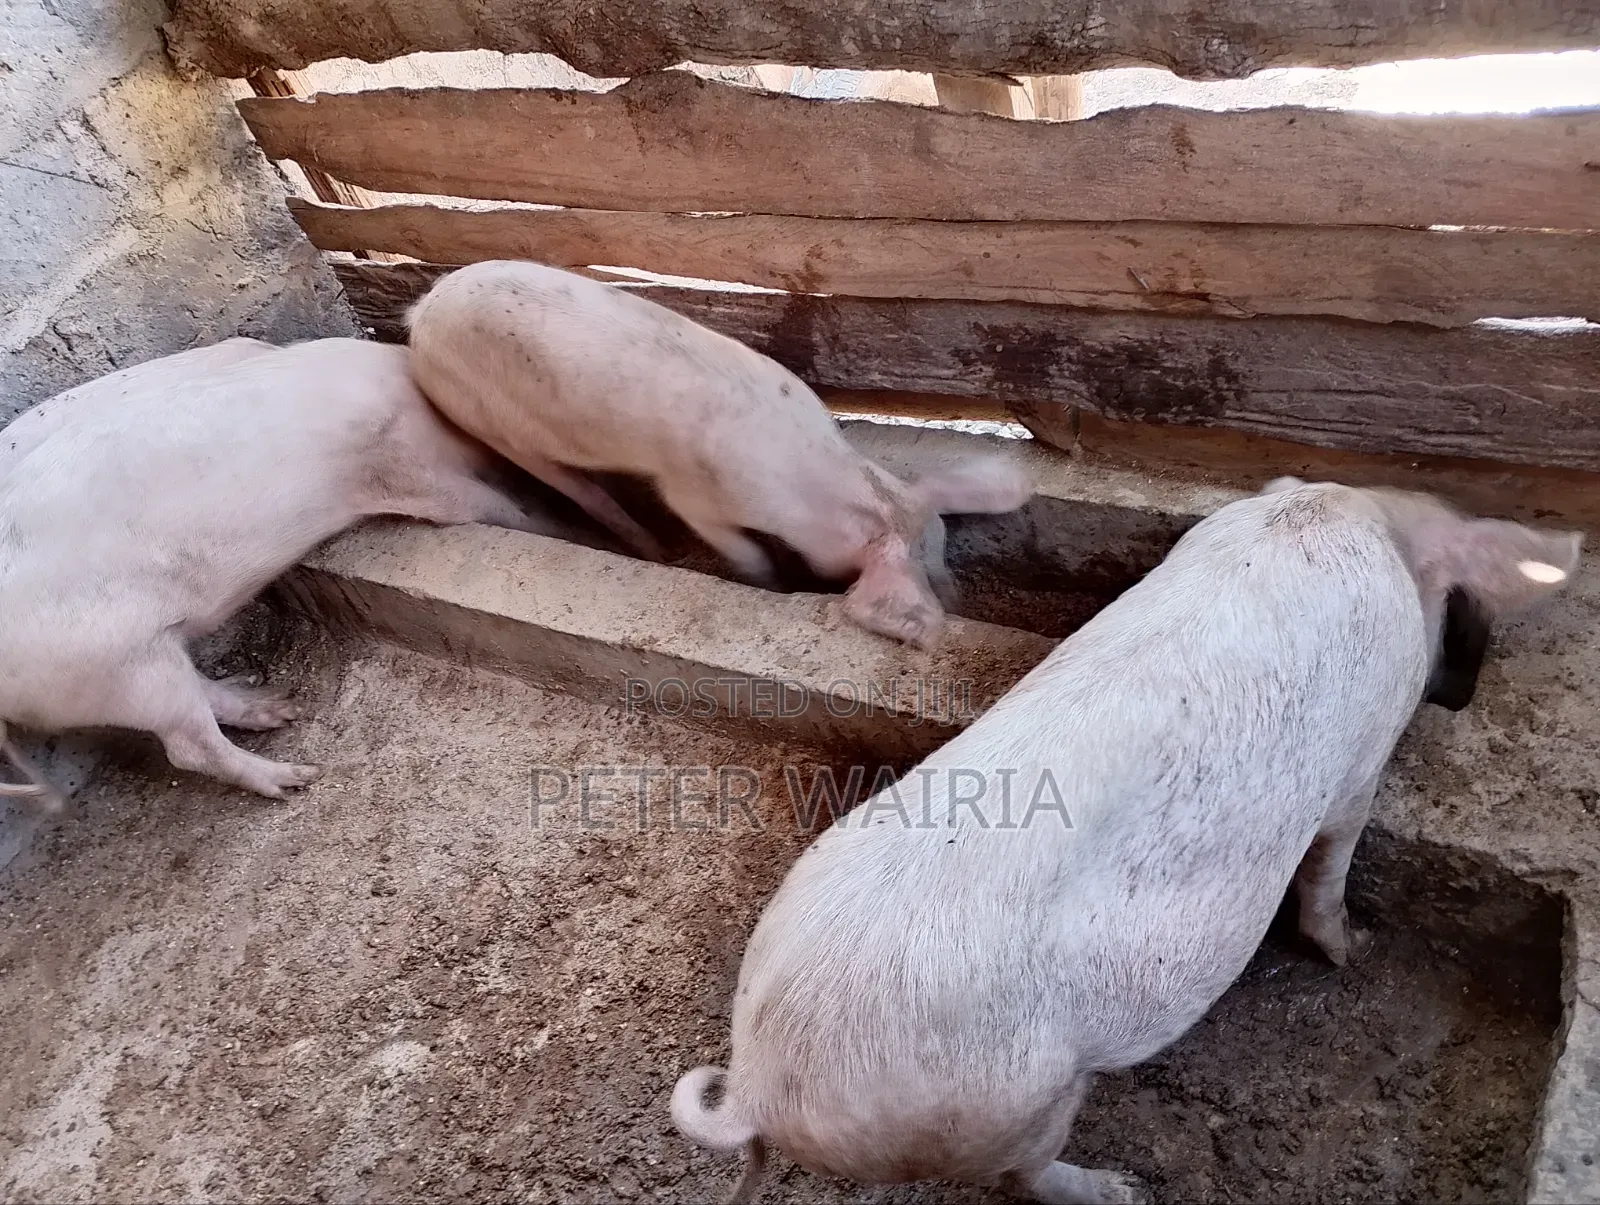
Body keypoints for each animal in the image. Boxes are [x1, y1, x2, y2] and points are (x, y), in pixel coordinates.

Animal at [0, 337, 545, 808]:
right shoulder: (407, 470)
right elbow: (483, 508)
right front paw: (541, 523)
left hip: (144, 660)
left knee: (204, 697)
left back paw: (279, 705)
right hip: (120, 667)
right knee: (188, 747)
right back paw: (297, 778)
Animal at [404, 260, 1034, 650]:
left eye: (941, 548)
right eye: (919, 566)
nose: (955, 604)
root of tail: (423, 312)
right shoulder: (695, 498)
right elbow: (745, 555)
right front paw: (775, 586)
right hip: (490, 422)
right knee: (581, 490)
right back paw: (654, 551)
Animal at [671, 478, 1580, 1204]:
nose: (1456, 677)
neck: (1349, 516)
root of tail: (759, 1081)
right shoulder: (1360, 766)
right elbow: (1332, 862)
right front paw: (1349, 949)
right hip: (1016, 1105)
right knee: (1023, 1177)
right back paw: (1123, 1187)